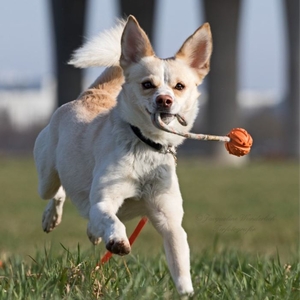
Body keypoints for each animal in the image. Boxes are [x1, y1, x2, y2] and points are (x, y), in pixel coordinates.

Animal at [34, 15, 212, 294]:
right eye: (147, 85)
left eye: (179, 86)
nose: (164, 100)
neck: (146, 145)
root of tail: (90, 94)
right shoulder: (104, 201)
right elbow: (113, 220)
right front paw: (118, 240)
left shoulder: (170, 220)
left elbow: (181, 264)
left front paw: (187, 293)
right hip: (46, 176)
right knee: (57, 192)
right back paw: (51, 218)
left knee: (86, 216)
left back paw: (92, 232)